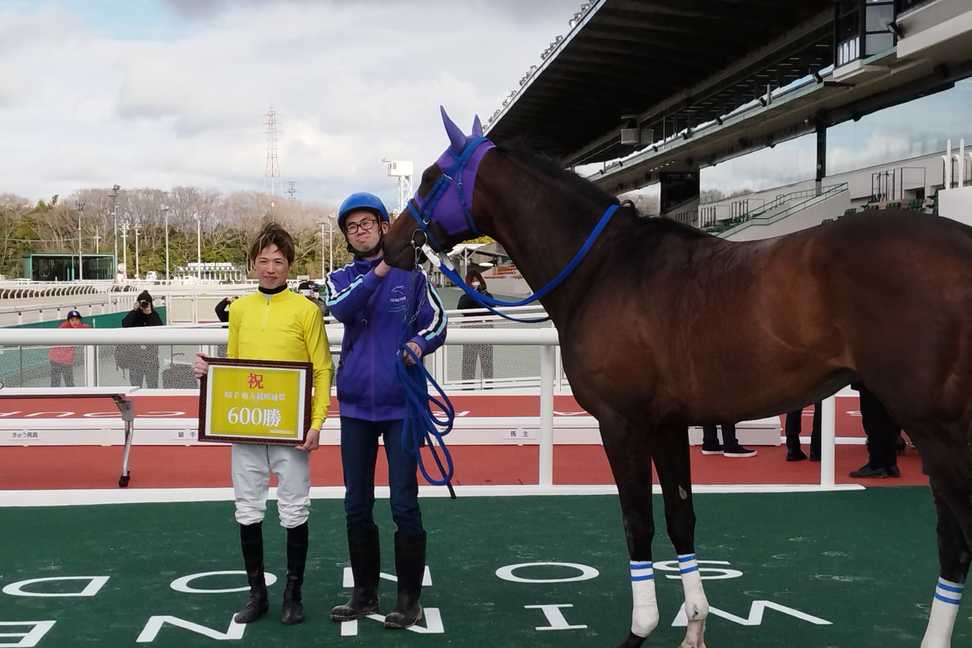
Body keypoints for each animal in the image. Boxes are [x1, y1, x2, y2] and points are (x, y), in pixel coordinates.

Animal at [384, 109, 972, 644]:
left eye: (432, 176)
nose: (391, 243)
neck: (605, 267)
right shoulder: (667, 425)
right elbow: (679, 518)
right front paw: (693, 626)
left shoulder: (621, 423)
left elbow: (637, 522)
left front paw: (640, 629)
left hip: (936, 427)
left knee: (955, 539)